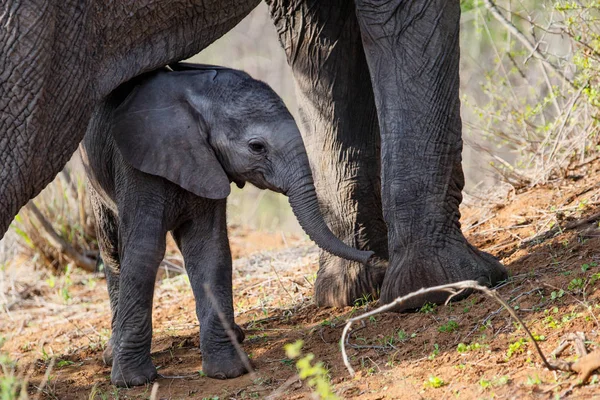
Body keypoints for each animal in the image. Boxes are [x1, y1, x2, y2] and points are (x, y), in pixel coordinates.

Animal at [79, 63, 370, 388]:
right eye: (256, 147)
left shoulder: (208, 165)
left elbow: (209, 250)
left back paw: (237, 336)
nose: (371, 255)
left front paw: (228, 371)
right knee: (112, 251)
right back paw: (111, 355)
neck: (197, 94)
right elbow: (144, 253)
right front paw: (134, 381)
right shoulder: (136, 168)